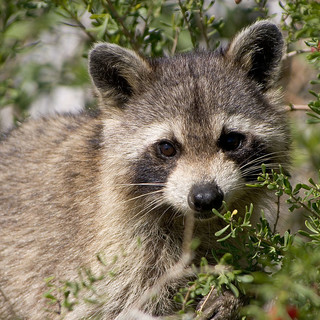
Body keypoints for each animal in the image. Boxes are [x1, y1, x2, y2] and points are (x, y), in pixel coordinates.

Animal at [0, 21, 288, 318]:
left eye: (231, 141)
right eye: (167, 148)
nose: (206, 197)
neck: (190, 222)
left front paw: (232, 299)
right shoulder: (106, 260)